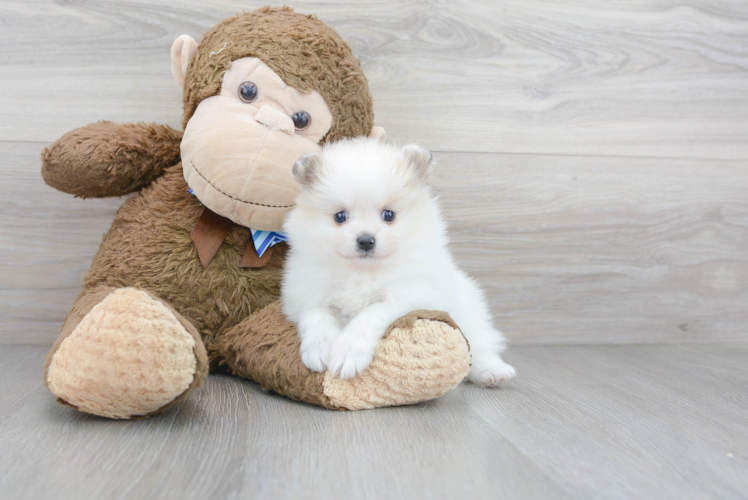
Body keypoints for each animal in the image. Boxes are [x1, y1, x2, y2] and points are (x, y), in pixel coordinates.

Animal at [280, 139, 516, 384]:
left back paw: (492, 371)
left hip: (470, 314)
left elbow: (368, 316)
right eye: (340, 216)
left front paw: (348, 352)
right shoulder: (305, 295)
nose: (366, 240)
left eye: (389, 215)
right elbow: (316, 316)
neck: (362, 272)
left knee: (477, 348)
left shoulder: (409, 295)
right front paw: (320, 348)